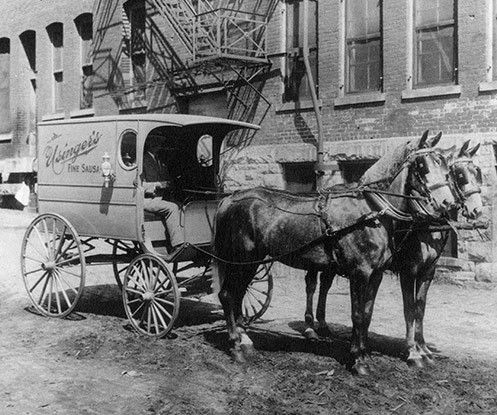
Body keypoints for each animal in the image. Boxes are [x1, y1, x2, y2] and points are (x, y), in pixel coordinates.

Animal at [211, 132, 456, 376]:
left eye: (445, 167)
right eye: (422, 165)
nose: (448, 203)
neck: (371, 210)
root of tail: (229, 199)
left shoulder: (376, 274)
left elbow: (367, 314)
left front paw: (365, 353)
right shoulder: (360, 273)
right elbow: (358, 314)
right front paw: (359, 360)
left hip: (251, 262)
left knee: (238, 295)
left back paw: (245, 340)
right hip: (241, 259)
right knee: (228, 295)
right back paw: (236, 346)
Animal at [302, 136, 480, 368]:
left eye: (477, 172)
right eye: (458, 174)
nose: (476, 209)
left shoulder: (428, 271)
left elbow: (419, 308)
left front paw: (423, 349)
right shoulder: (408, 271)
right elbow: (409, 309)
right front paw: (412, 352)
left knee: (325, 284)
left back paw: (323, 325)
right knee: (312, 284)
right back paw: (310, 327)